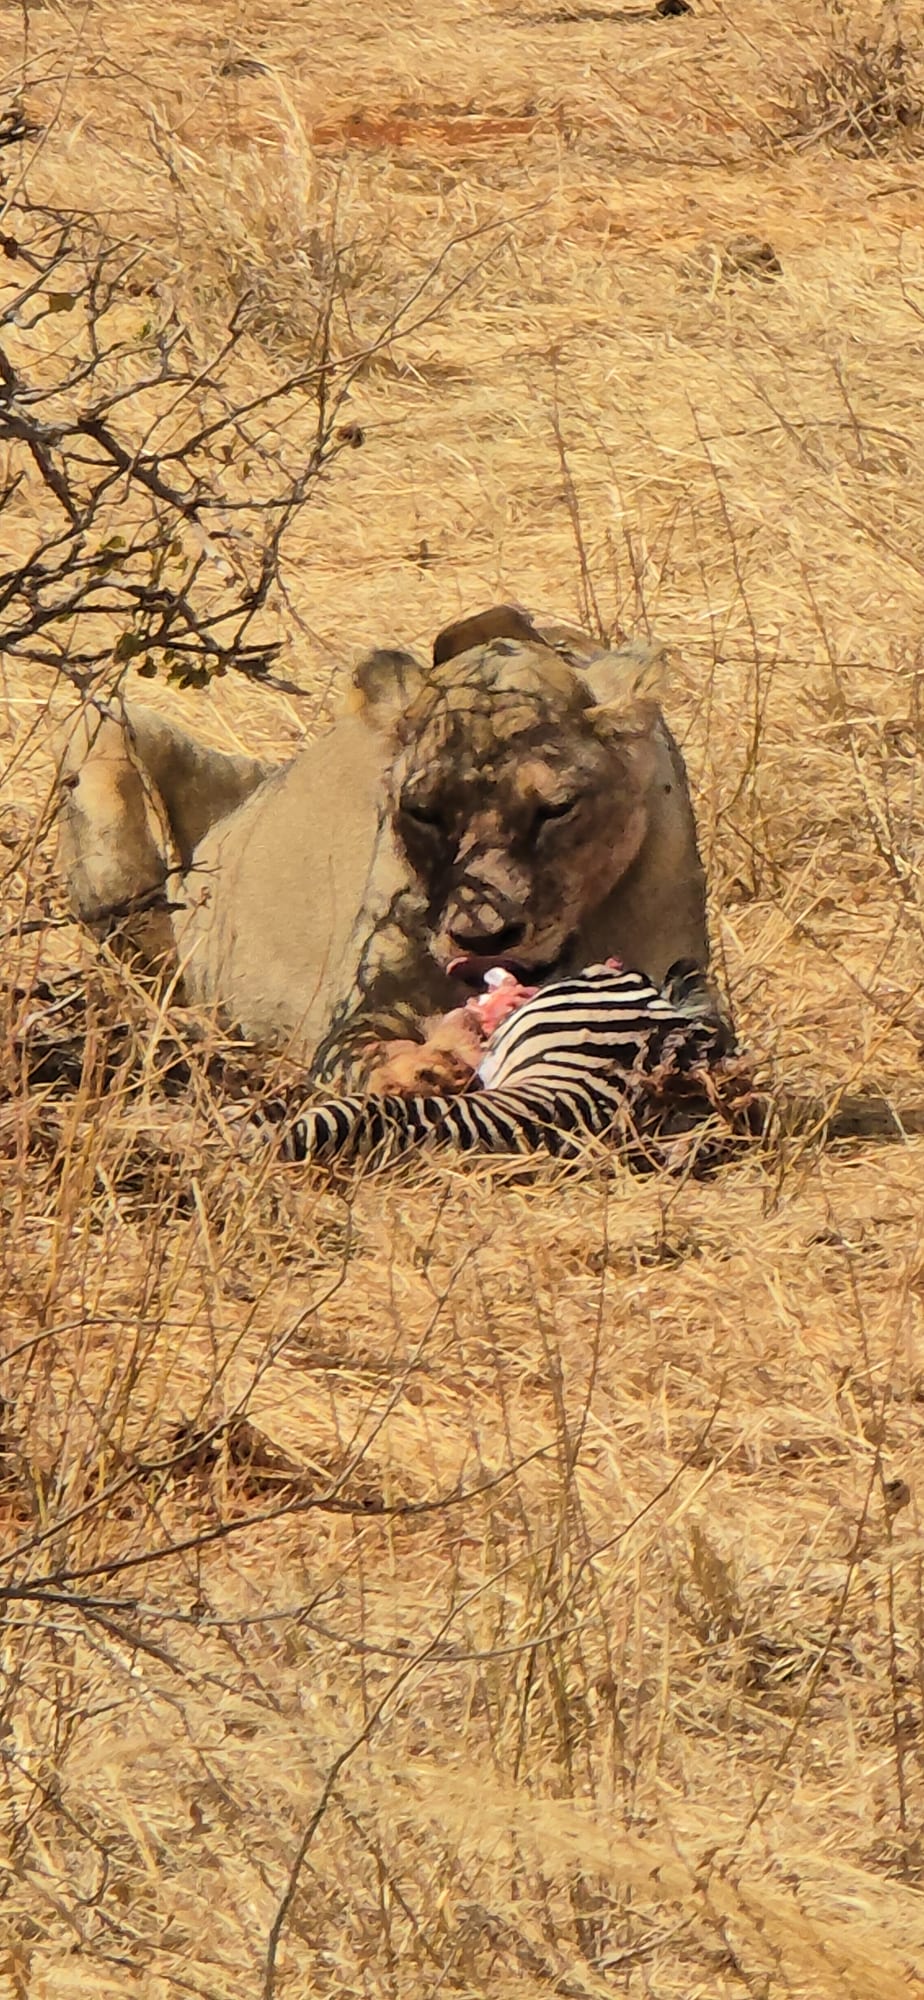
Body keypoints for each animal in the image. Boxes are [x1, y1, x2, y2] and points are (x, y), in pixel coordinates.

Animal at [53, 605, 724, 1085]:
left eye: (555, 810)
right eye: (423, 812)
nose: (482, 940)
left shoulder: (686, 985)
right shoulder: (357, 1010)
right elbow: (366, 1053)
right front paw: (420, 1067)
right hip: (99, 728)